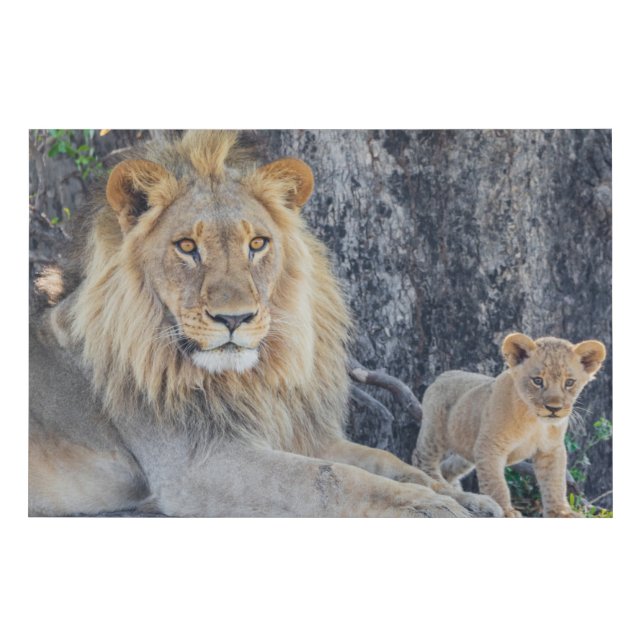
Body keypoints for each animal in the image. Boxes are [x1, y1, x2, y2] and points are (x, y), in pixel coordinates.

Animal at [29, 130, 502, 518]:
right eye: (187, 247)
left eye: (257, 244)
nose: (234, 318)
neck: (249, 380)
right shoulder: (197, 464)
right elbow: (331, 479)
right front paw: (429, 507)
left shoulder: (299, 434)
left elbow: (388, 462)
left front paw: (464, 498)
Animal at [412, 333, 606, 517]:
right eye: (537, 380)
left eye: (569, 382)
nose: (553, 408)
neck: (534, 421)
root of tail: (443, 374)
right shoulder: (490, 446)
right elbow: (496, 483)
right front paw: (505, 511)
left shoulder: (551, 449)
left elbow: (555, 482)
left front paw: (561, 512)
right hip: (435, 433)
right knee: (421, 458)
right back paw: (440, 484)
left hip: (467, 448)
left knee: (449, 466)